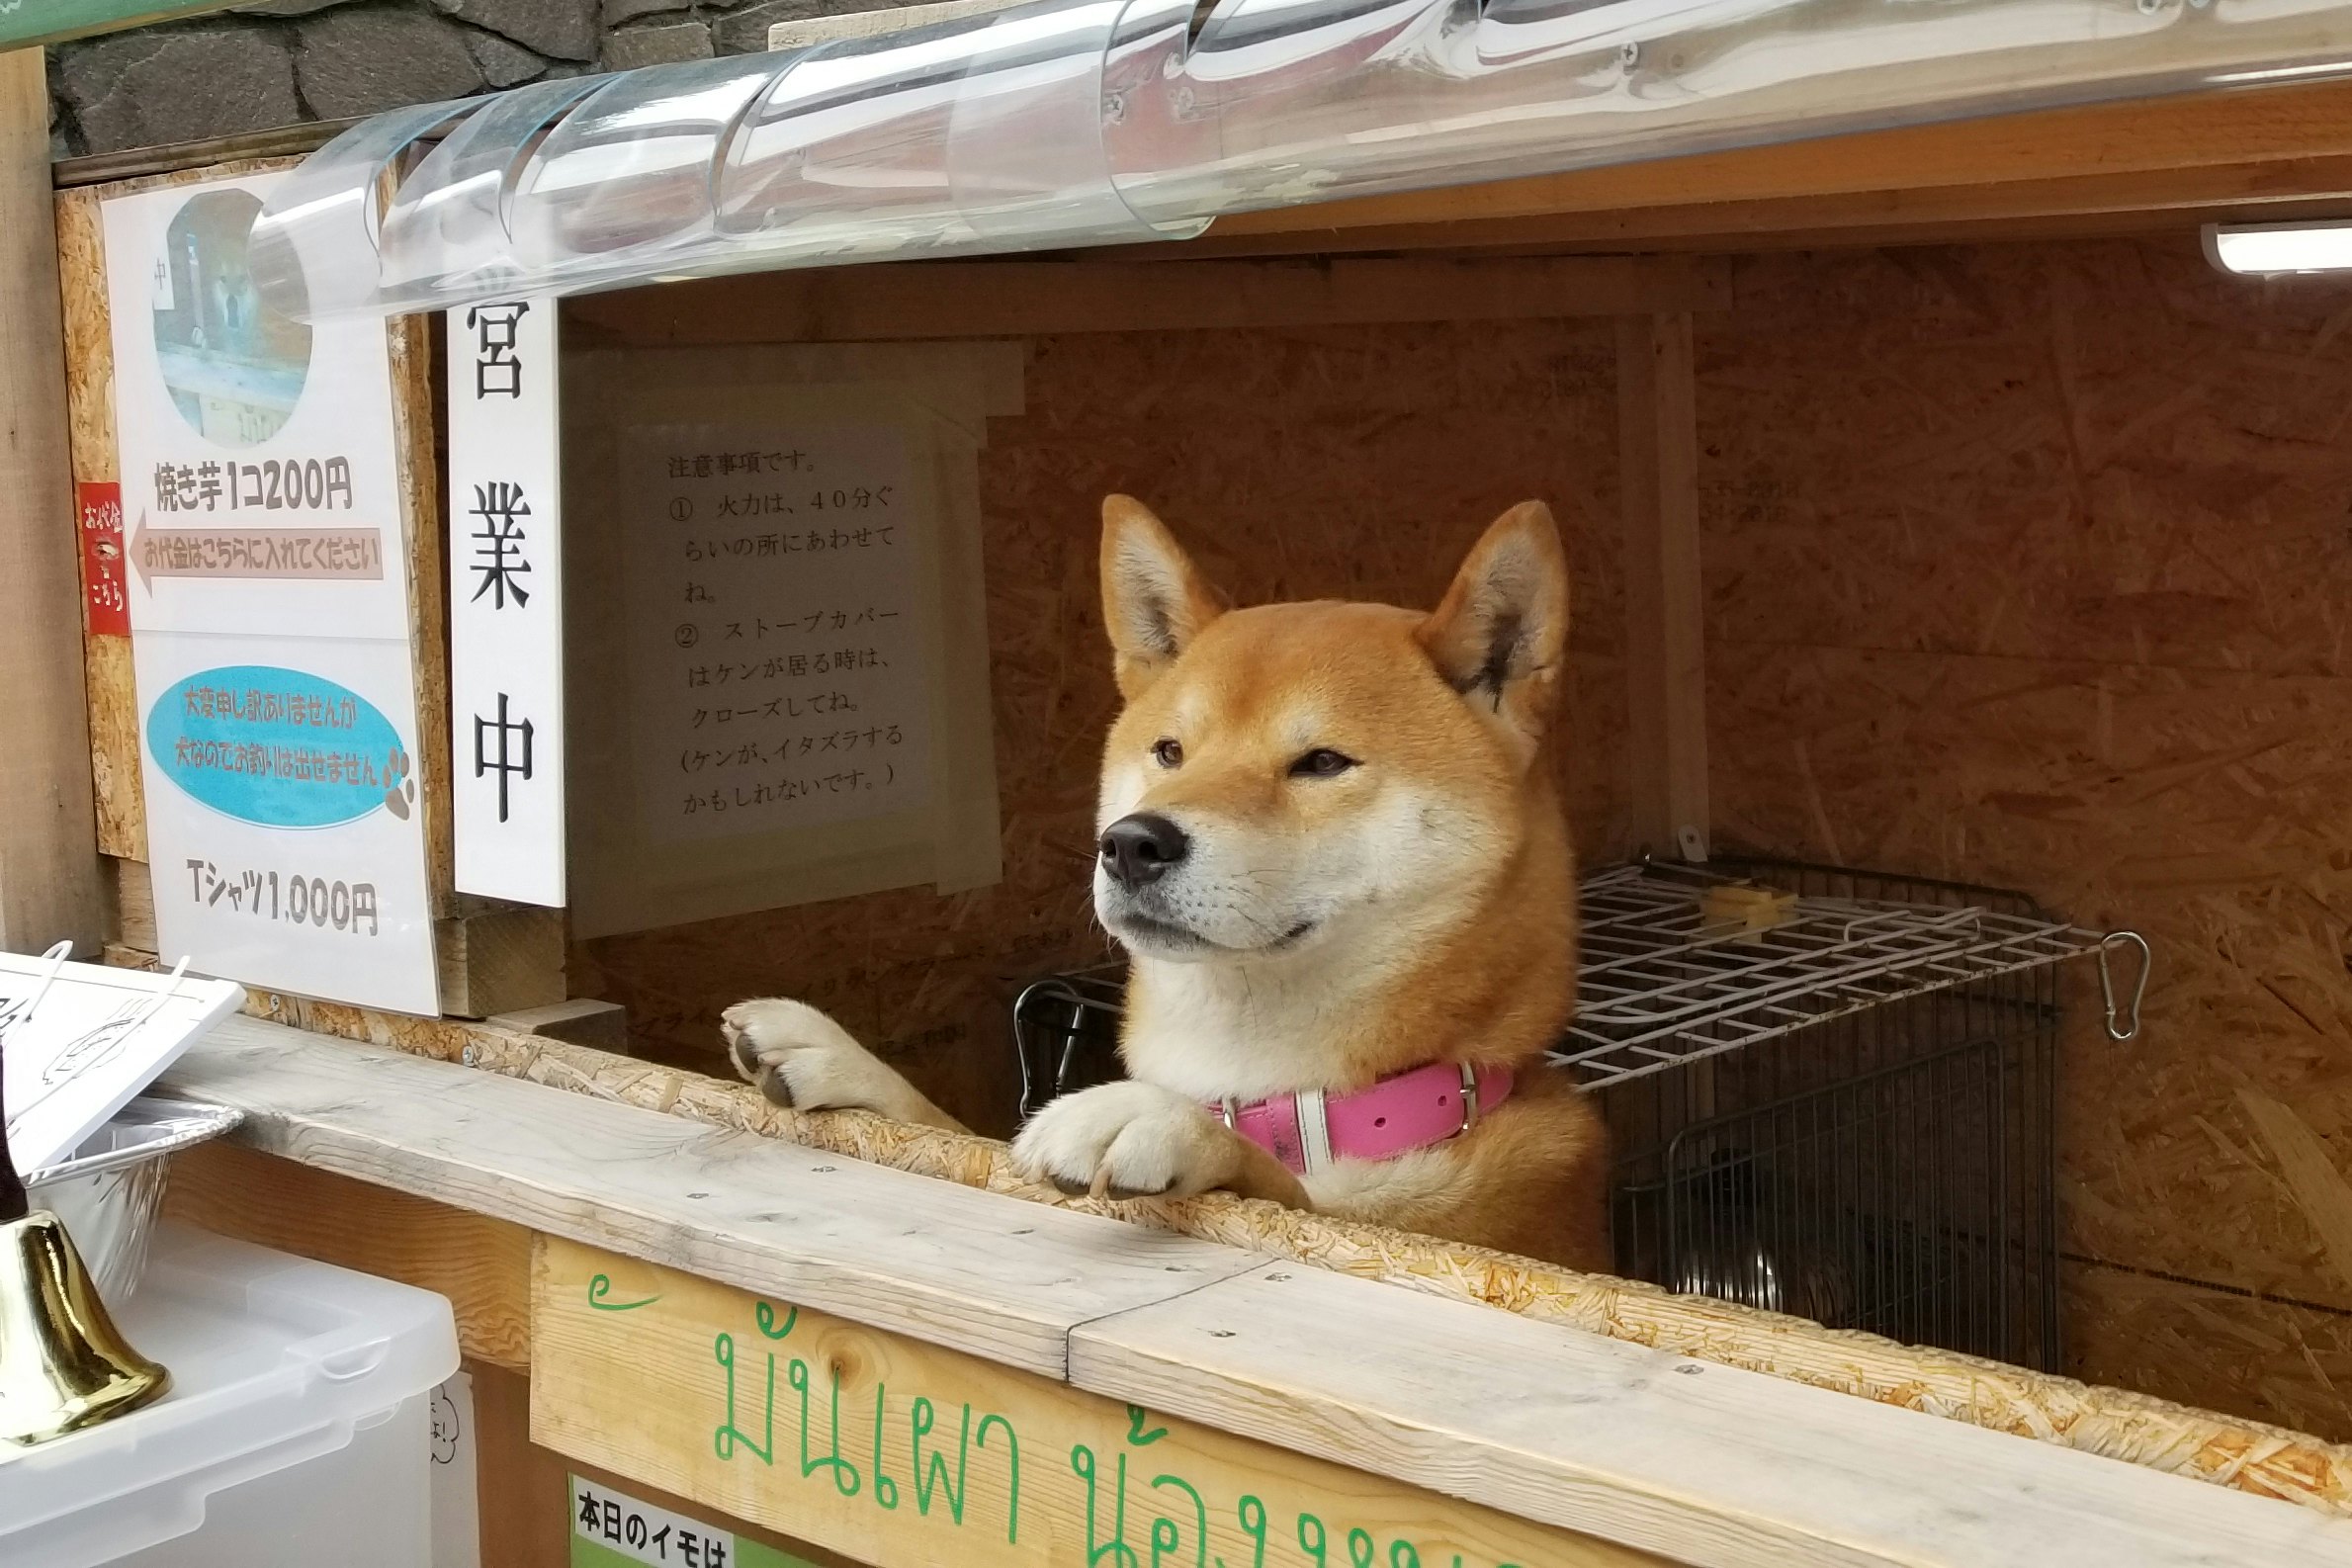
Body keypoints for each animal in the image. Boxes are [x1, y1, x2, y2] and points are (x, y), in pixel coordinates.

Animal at [729, 495, 1617, 1269]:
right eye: (1169, 752)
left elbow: (1281, 1190)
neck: (1287, 1099)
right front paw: (838, 1059)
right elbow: (952, 1134)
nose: (1130, 843)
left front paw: (1158, 1119)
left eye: (1320, 762)